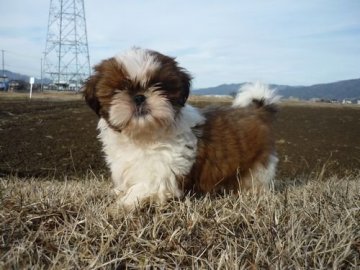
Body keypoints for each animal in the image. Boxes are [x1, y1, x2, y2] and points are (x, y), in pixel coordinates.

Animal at [83, 48, 278, 209]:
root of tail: (258, 109)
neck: (143, 135)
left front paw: (122, 204)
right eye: (119, 89)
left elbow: (145, 187)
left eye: (159, 86)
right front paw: (118, 194)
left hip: (258, 165)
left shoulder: (164, 172)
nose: (139, 97)